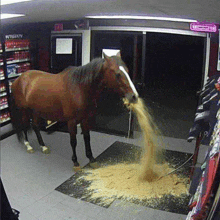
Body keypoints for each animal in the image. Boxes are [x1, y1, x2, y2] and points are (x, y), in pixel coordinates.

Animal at [10, 52, 138, 168]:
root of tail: (18, 80)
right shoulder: (71, 122)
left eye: (127, 70)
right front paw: (75, 161)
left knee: (36, 126)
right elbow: (73, 141)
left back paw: (43, 146)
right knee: (24, 126)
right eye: (118, 74)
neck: (79, 88)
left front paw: (91, 158)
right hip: (24, 110)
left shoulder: (85, 119)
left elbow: (87, 138)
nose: (134, 96)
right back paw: (28, 146)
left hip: (35, 110)